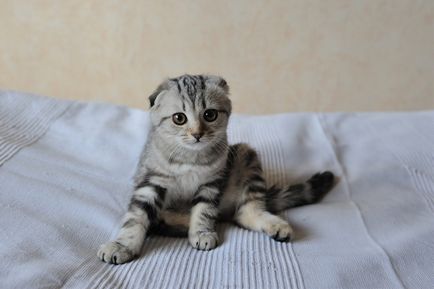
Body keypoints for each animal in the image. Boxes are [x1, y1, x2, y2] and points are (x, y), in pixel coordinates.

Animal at [99, 73, 336, 264]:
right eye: (179, 118)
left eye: (210, 115)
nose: (197, 134)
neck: (190, 158)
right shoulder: (151, 181)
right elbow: (136, 217)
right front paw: (122, 245)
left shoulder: (211, 182)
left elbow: (204, 210)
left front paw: (202, 232)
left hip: (246, 156)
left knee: (244, 212)